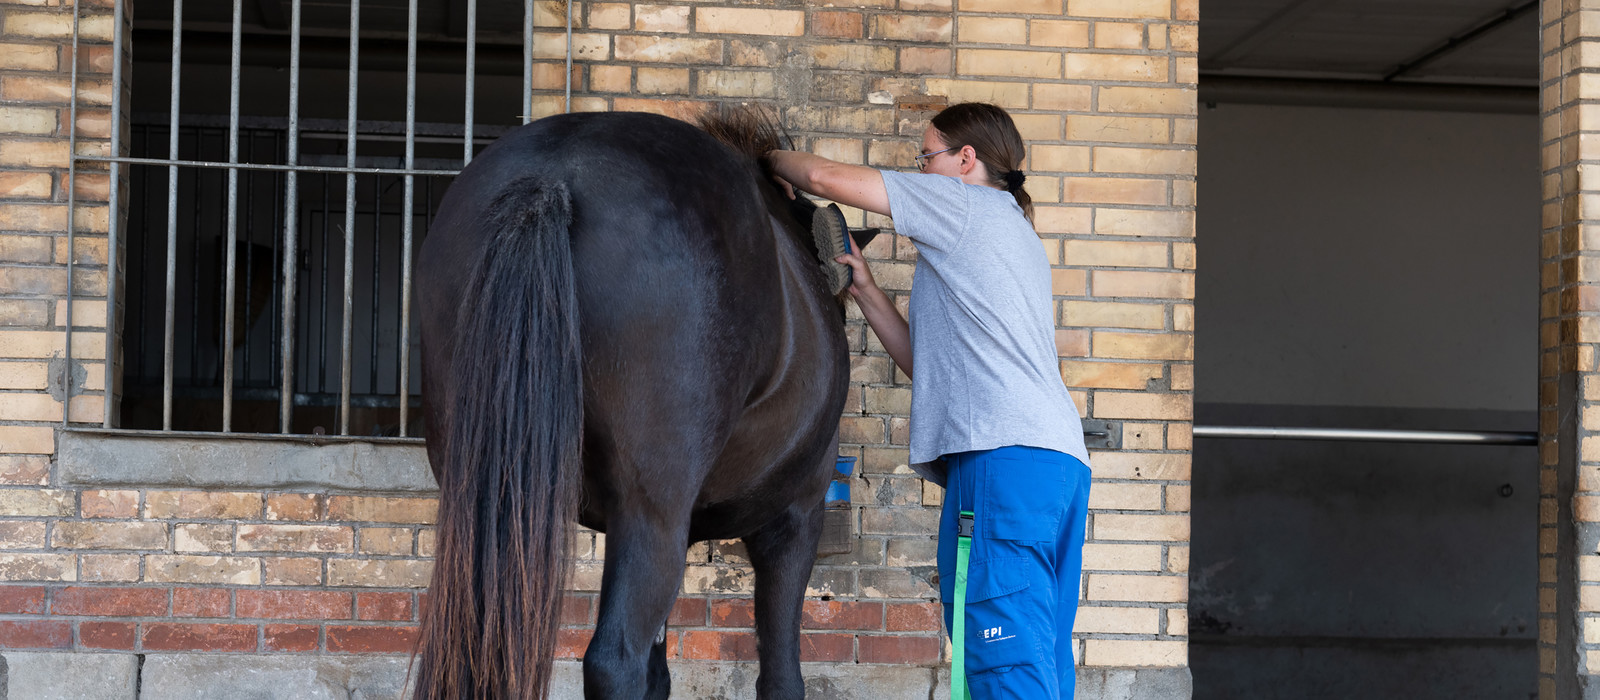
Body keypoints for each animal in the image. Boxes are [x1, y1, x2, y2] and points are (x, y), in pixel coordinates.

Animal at [419, 111, 857, 700]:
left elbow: (659, 672)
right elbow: (781, 675)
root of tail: (552, 176)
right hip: (651, 512)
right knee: (612, 662)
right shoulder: (794, 517)